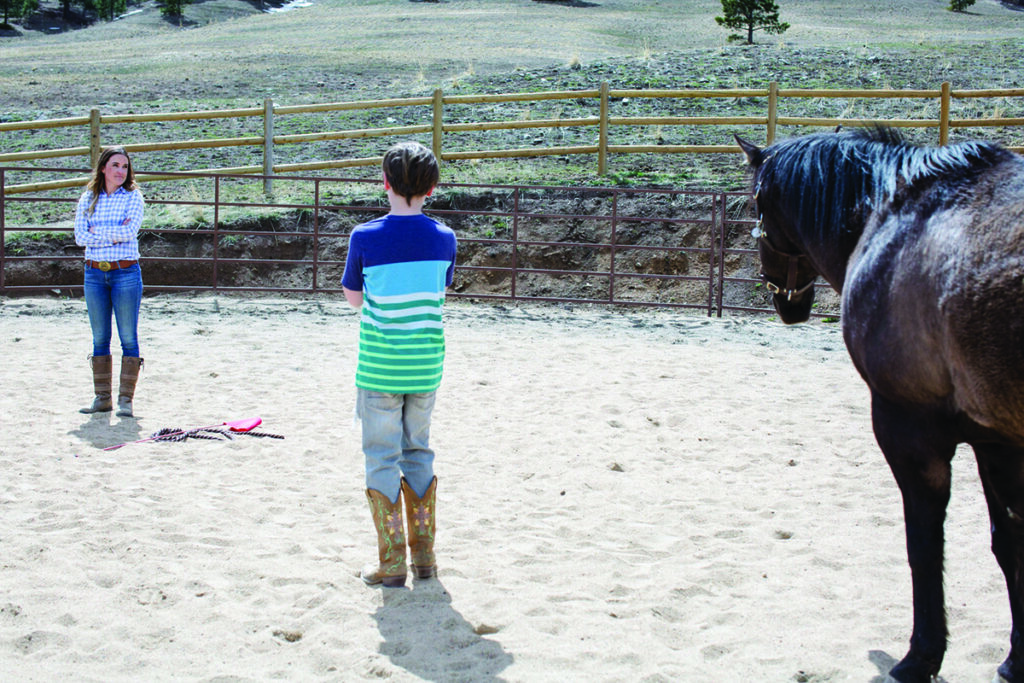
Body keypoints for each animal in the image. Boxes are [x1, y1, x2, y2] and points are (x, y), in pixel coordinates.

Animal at [737, 127, 1024, 683]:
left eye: (759, 205)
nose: (786, 303)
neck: (891, 214)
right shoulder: (995, 439)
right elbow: (1010, 541)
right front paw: (1016, 655)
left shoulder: (906, 428)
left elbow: (923, 545)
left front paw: (920, 657)